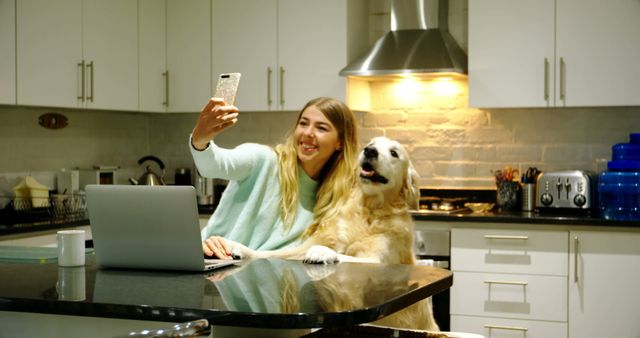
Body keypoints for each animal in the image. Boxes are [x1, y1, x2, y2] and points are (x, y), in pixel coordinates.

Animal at [228, 137, 438, 330]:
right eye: (371, 143)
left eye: (394, 153)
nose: (369, 151)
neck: (367, 208)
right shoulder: (301, 247)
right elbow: (272, 253)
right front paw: (242, 250)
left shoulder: (376, 260)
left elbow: (344, 256)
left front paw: (322, 252)